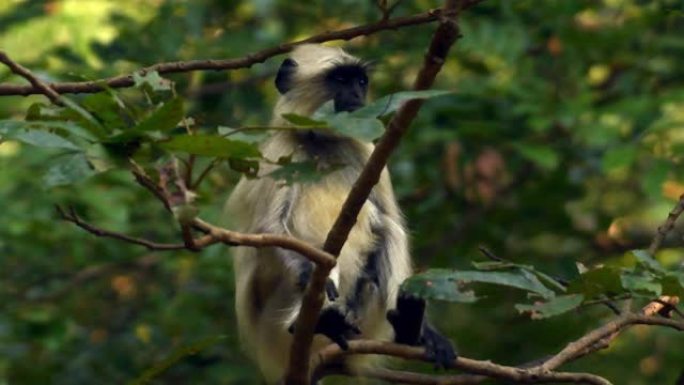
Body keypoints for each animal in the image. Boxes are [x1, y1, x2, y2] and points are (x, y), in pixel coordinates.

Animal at [227, 44, 456, 380]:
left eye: (360, 81)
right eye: (339, 79)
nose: (357, 96)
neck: (321, 143)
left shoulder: (367, 150)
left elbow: (390, 219)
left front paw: (428, 334)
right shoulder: (279, 152)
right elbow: (266, 230)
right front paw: (310, 272)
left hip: (366, 323)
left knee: (387, 227)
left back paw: (408, 327)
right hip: (273, 332)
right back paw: (320, 318)